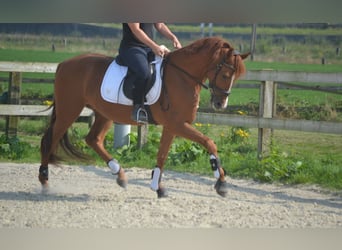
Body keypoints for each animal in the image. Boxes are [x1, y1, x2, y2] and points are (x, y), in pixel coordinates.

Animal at [39, 37, 248, 197]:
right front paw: (221, 183)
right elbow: (209, 142)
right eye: (226, 74)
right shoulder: (178, 124)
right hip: (69, 110)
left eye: (234, 77)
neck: (182, 76)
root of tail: (64, 64)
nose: (221, 104)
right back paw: (44, 182)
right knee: (50, 140)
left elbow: (162, 155)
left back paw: (120, 175)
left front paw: (158, 187)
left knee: (93, 139)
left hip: (104, 113)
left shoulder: (172, 126)